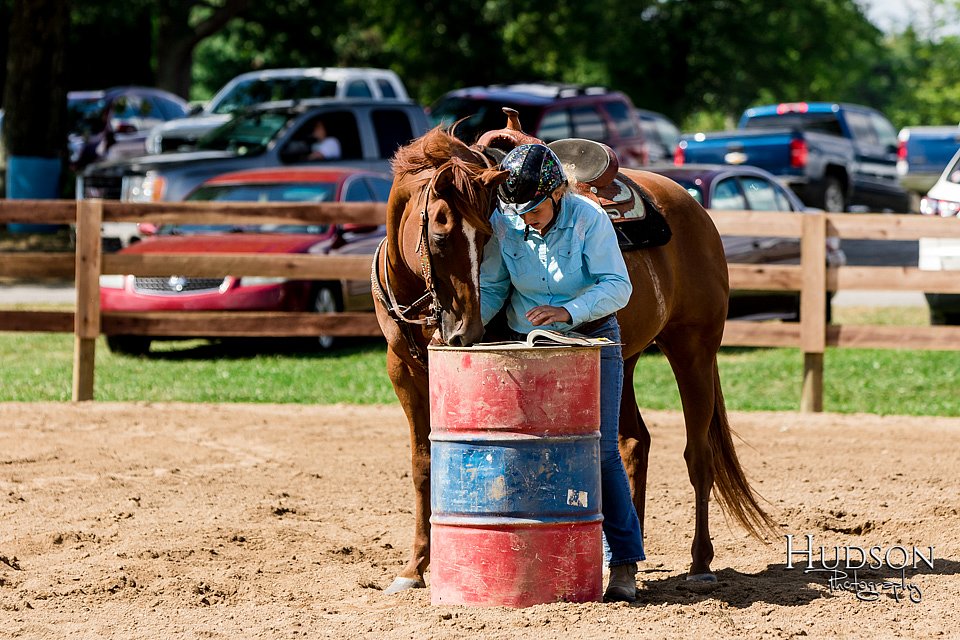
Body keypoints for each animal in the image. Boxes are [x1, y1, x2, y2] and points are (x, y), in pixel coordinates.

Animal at [372, 121, 776, 596]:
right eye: (439, 235)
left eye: (488, 236)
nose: (465, 333)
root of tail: (692, 207)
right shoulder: (403, 372)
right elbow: (423, 466)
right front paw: (414, 567)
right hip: (625, 359)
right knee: (633, 444)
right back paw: (625, 560)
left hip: (693, 348)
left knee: (698, 456)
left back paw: (699, 564)